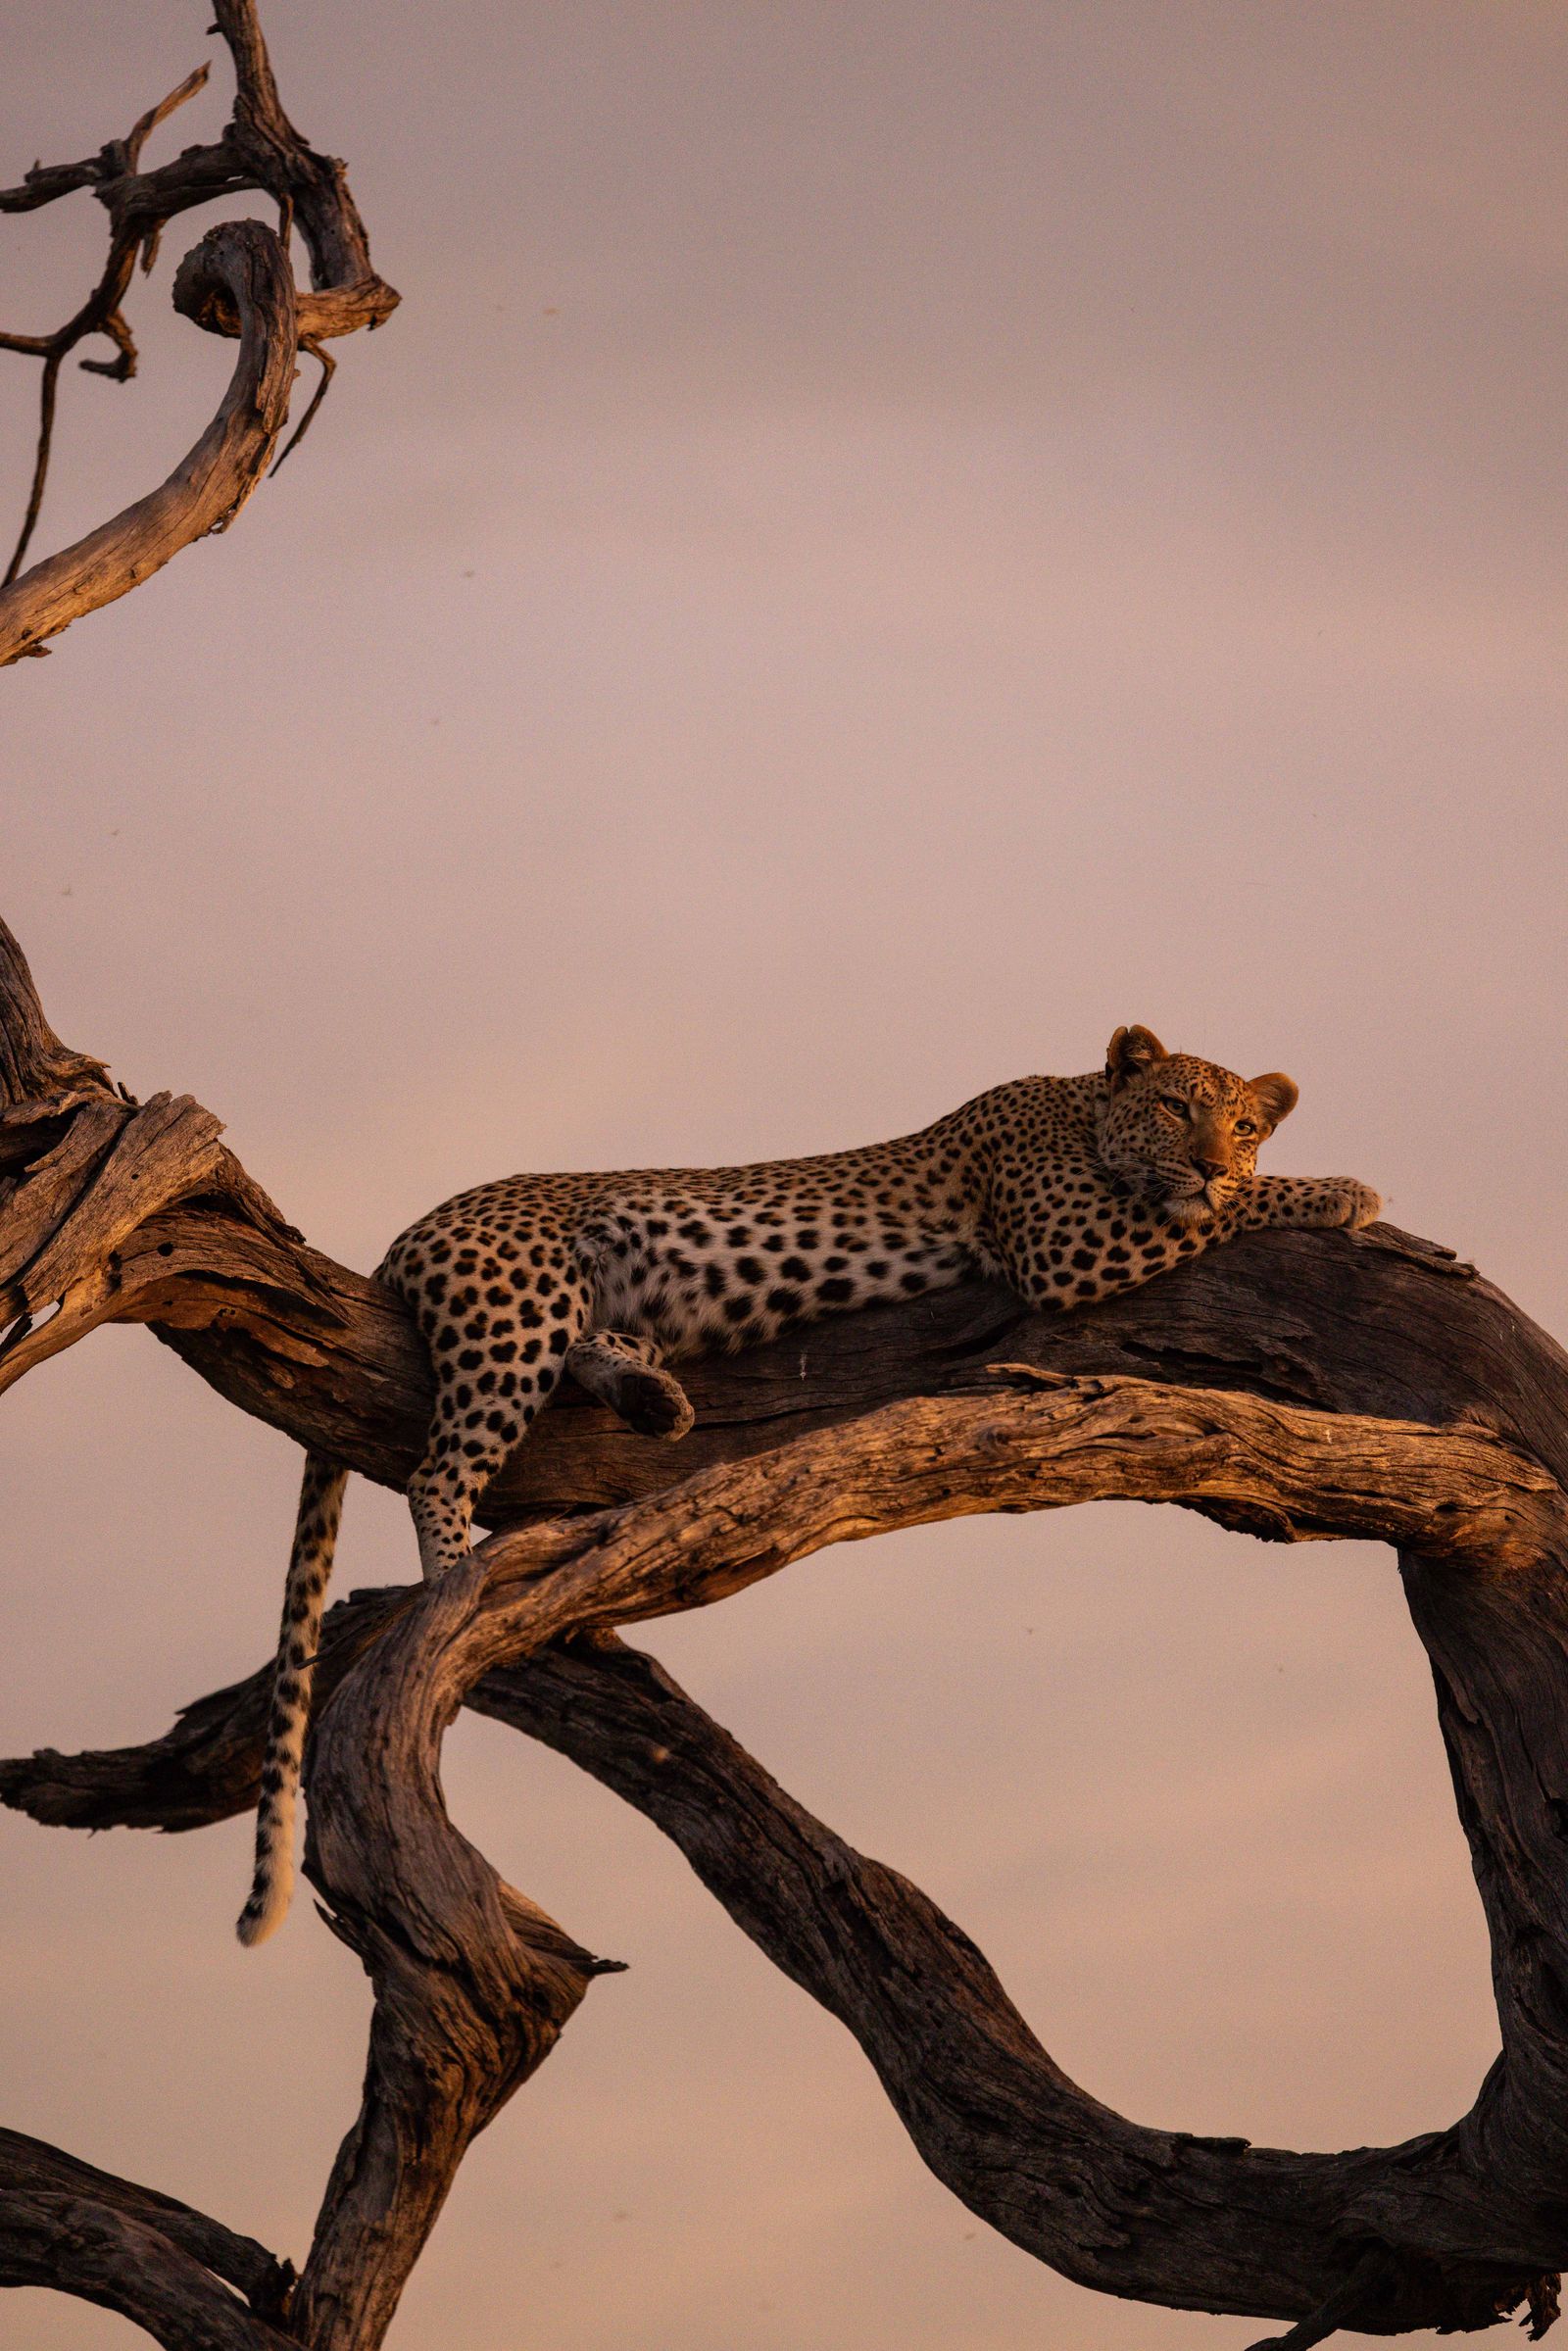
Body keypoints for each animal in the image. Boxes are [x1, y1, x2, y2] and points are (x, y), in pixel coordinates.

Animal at [237, 1023, 1380, 1945]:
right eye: (1176, 1107)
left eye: (1244, 1120)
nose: (1211, 1160)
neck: (1079, 1104)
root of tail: (405, 1234)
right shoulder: (1066, 1241)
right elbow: (1208, 1215)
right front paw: (1339, 1190)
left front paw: (1295, 1182)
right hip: (516, 1311)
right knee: (439, 1466)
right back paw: (455, 1580)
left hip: (600, 1310)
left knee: (586, 1362)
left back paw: (653, 1399)